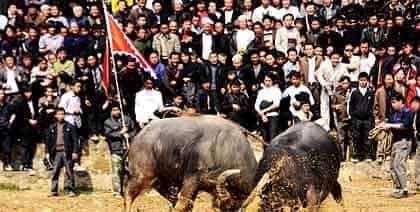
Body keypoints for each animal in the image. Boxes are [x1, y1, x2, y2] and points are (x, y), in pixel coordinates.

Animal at [123, 116, 258, 212]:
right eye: (226, 208)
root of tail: (137, 137)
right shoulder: (191, 179)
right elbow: (182, 204)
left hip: (161, 179)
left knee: (168, 194)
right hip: (141, 176)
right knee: (128, 195)